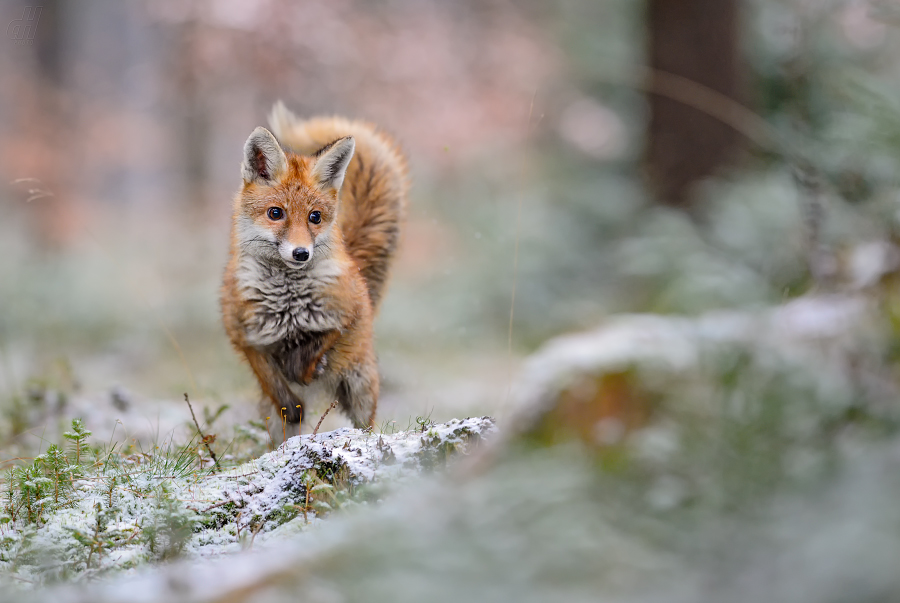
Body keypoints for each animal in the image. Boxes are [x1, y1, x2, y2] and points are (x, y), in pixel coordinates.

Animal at [221, 105, 408, 434]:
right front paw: (293, 405)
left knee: (365, 426)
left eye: (315, 217)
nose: (301, 253)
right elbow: (273, 382)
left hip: (361, 390)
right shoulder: (243, 335)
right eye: (275, 213)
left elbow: (317, 345)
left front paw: (306, 368)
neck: (287, 302)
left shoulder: (346, 314)